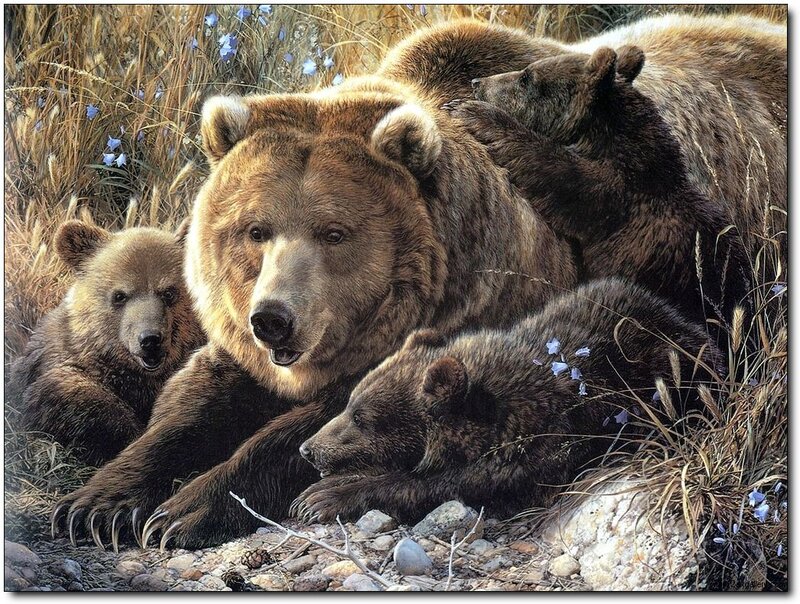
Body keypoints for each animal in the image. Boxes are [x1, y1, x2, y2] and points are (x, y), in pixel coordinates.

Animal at [51, 67, 579, 548]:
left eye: (334, 233)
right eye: (256, 229)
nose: (272, 320)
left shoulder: (444, 328)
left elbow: (321, 429)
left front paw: (182, 512)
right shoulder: (241, 355)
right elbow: (187, 408)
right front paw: (96, 507)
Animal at [294, 277, 723, 523]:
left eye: (362, 418)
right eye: (349, 404)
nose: (307, 449)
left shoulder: (539, 447)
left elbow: (450, 484)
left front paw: (323, 497)